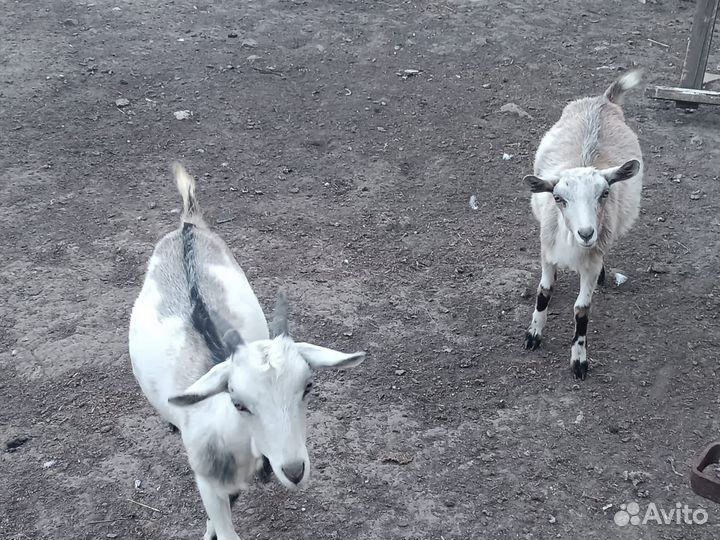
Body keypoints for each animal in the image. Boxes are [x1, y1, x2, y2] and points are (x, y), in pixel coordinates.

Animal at [522, 70, 643, 380]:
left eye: (604, 193)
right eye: (558, 198)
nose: (586, 233)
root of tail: (602, 100)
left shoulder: (590, 261)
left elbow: (582, 309)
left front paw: (579, 359)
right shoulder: (546, 250)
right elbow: (544, 291)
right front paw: (533, 334)